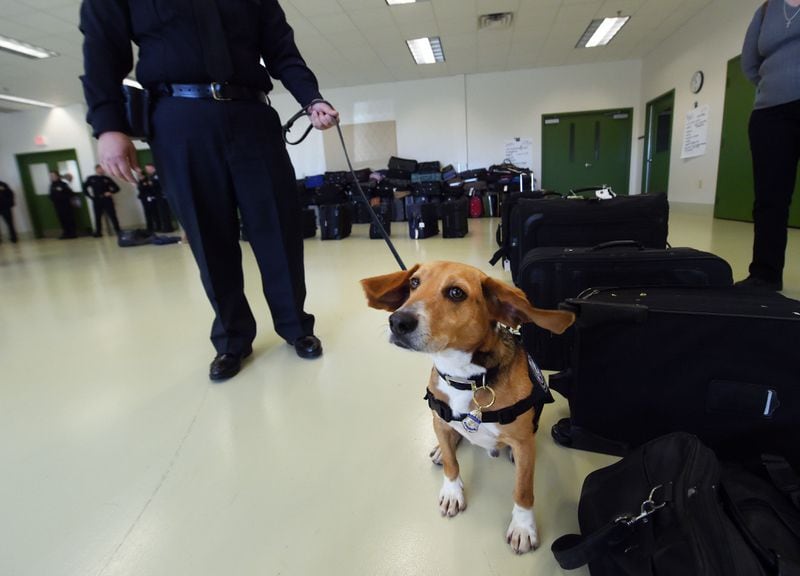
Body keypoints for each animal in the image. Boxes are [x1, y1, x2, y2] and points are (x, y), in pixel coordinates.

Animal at [360, 262, 576, 552]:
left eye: (456, 292)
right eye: (414, 283)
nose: (397, 321)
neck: (466, 378)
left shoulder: (522, 442)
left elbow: (523, 489)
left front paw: (522, 526)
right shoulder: (439, 419)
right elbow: (452, 465)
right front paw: (452, 492)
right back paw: (442, 449)